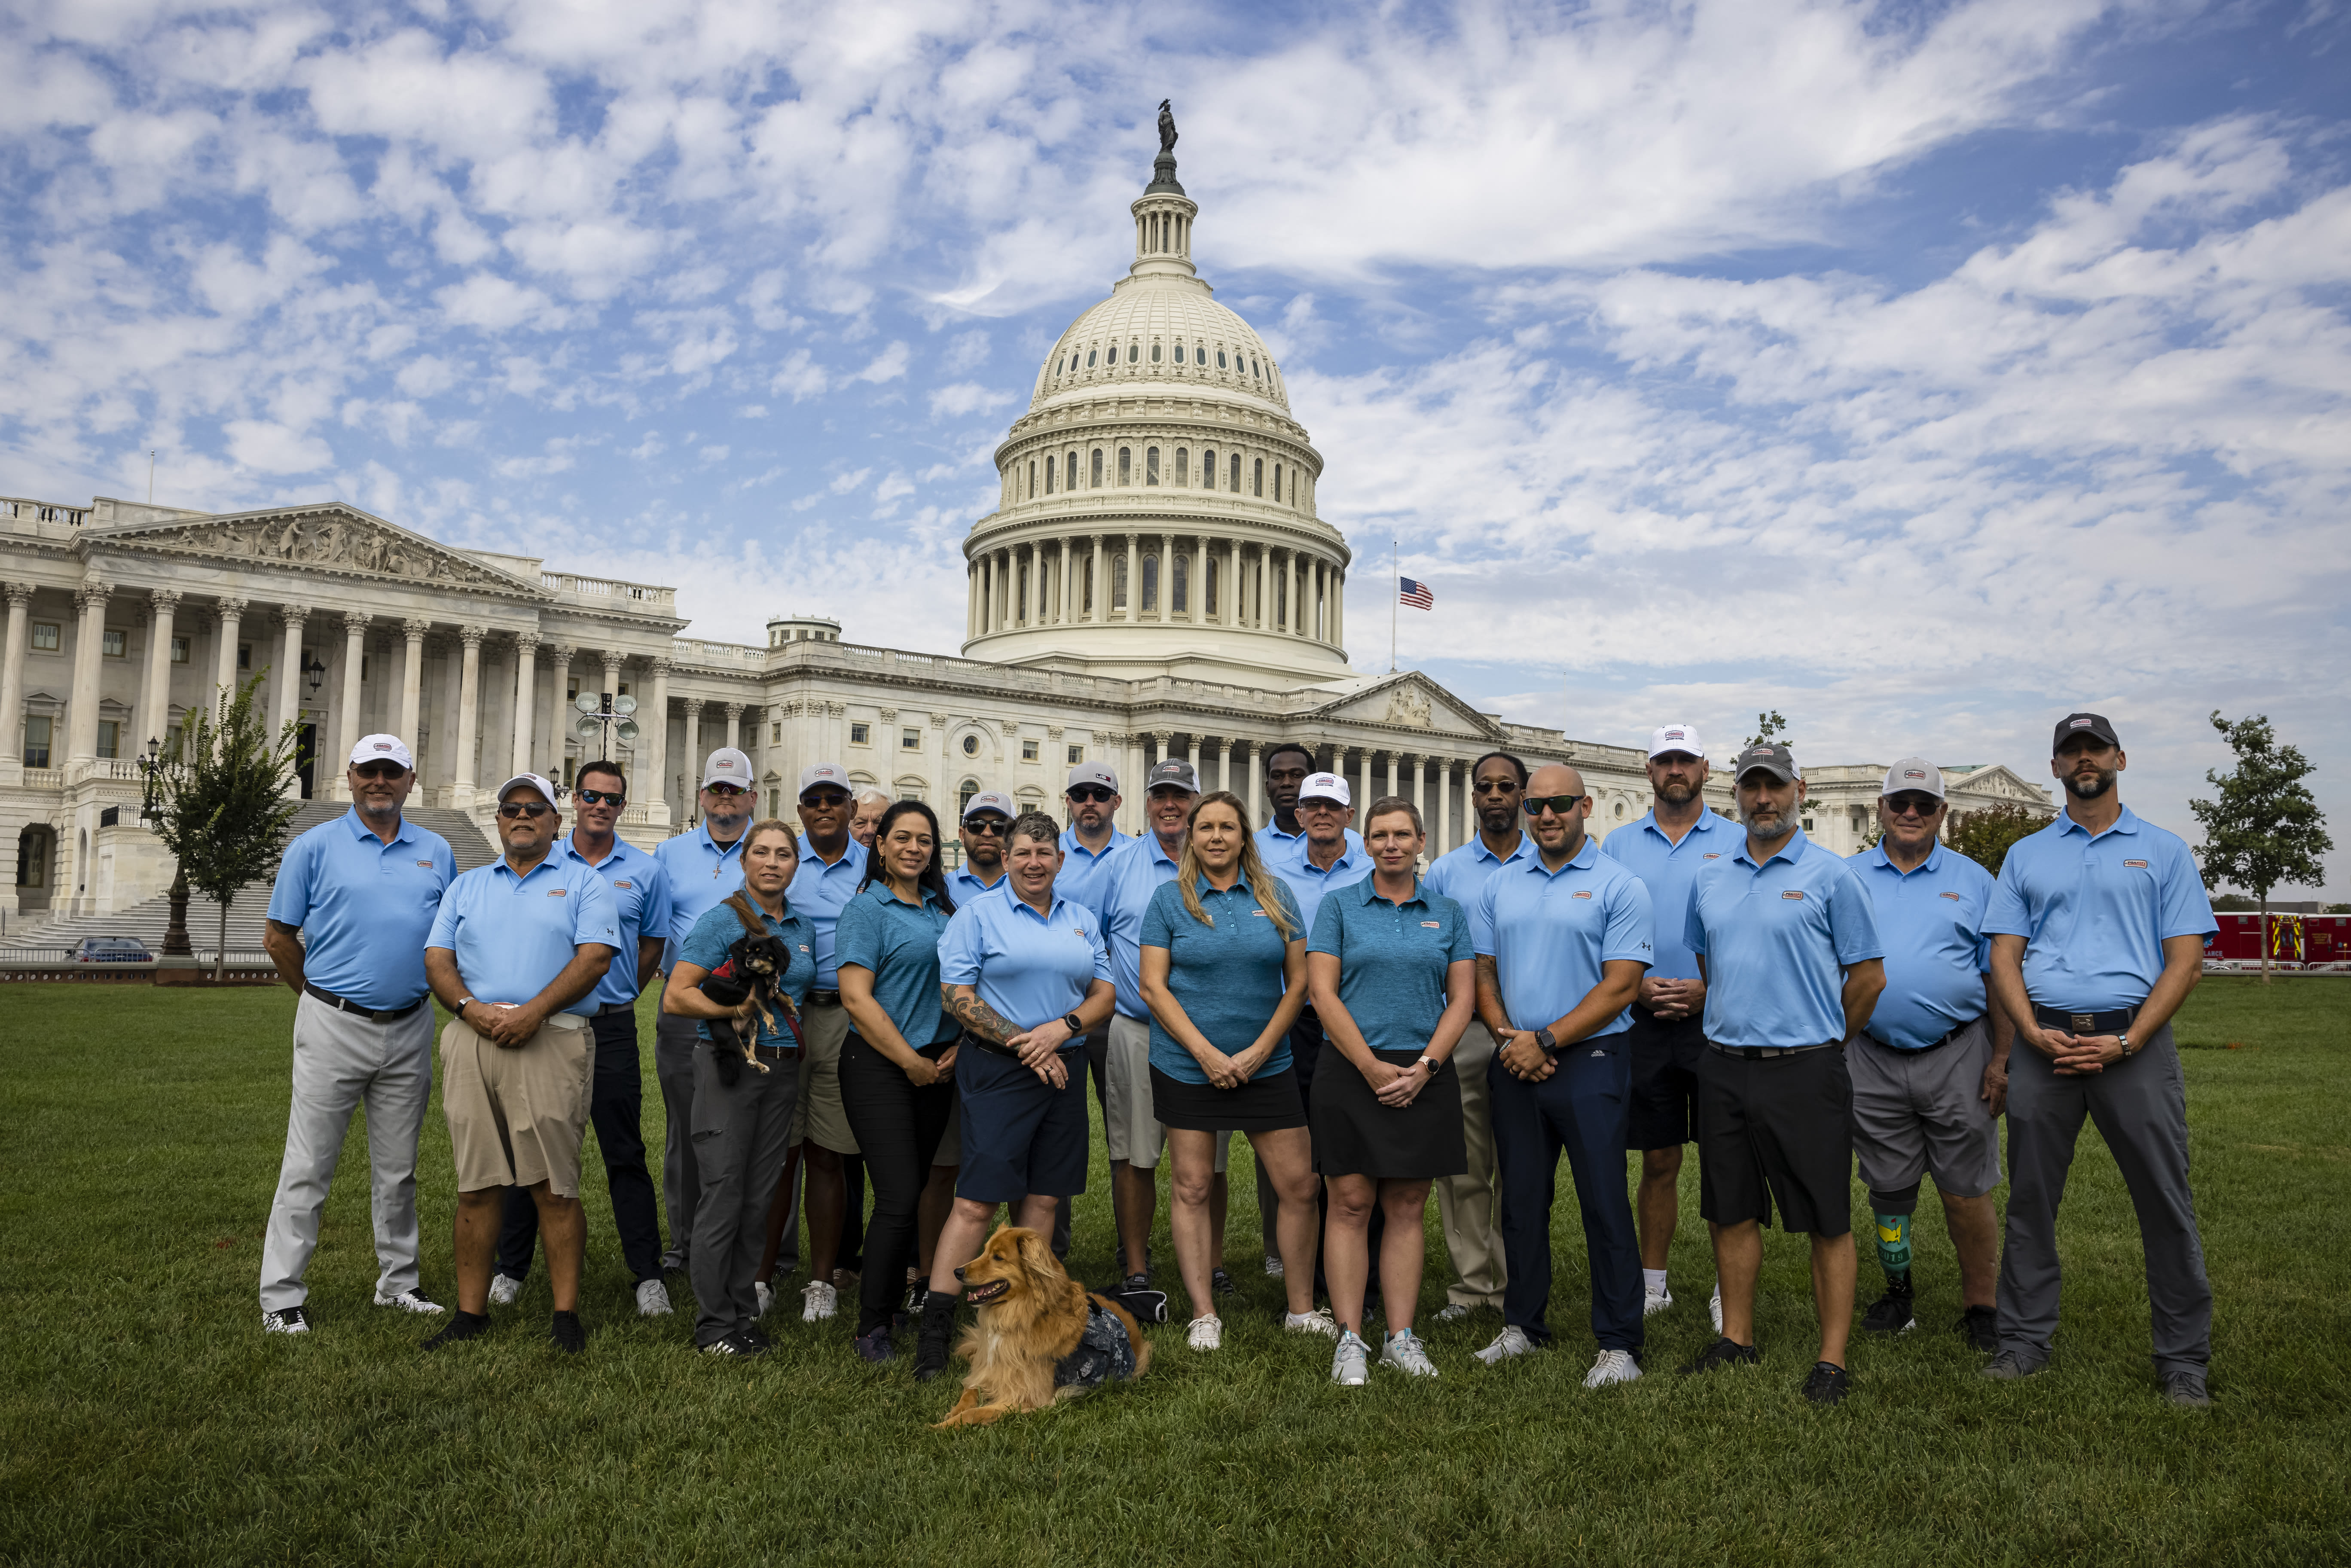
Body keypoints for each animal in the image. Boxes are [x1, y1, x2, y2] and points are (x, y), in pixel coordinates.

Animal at [935, 1222, 1157, 1439]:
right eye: (984, 1251)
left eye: (998, 1257)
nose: (957, 1272)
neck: (1021, 1316)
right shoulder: (989, 1370)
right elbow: (970, 1391)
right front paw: (954, 1411)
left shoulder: (1027, 1398)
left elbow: (976, 1413)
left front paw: (941, 1426)